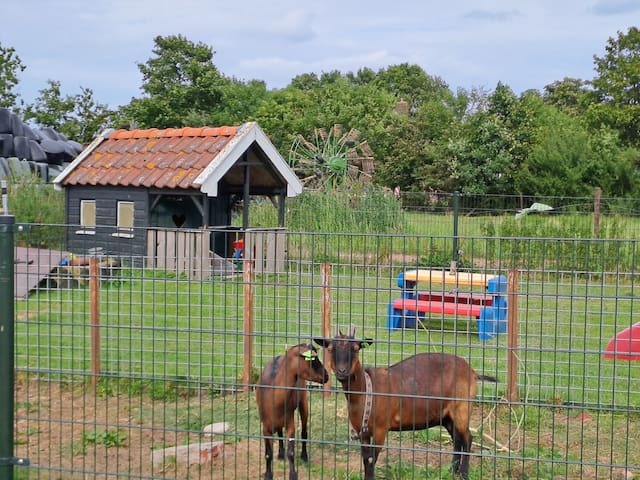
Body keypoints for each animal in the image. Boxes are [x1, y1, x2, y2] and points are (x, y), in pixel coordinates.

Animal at [254, 342, 328, 480]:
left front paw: (293, 474)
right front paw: (268, 474)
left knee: (304, 432)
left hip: (303, 401)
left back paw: (304, 455)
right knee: (279, 433)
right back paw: (280, 453)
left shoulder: (290, 423)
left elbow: (291, 452)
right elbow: (268, 453)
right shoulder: (265, 428)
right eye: (312, 359)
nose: (326, 376)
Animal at [314, 328, 496, 478]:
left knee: (468, 438)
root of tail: (472, 372)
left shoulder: (380, 429)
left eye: (356, 348)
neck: (367, 390)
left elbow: (372, 459)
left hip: (462, 408)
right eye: (330, 349)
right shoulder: (363, 432)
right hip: (447, 416)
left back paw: (463, 473)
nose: (342, 371)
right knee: (457, 439)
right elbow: (366, 459)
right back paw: (452, 471)